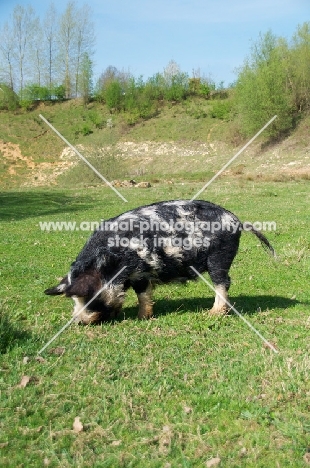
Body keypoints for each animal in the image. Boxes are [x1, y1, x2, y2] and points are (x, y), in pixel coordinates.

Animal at [45, 199, 274, 324]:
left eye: (89, 298)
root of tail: (237, 222)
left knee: (223, 282)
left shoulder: (138, 271)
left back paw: (213, 313)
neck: (108, 266)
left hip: (219, 256)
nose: (79, 322)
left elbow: (143, 294)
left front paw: (141, 318)